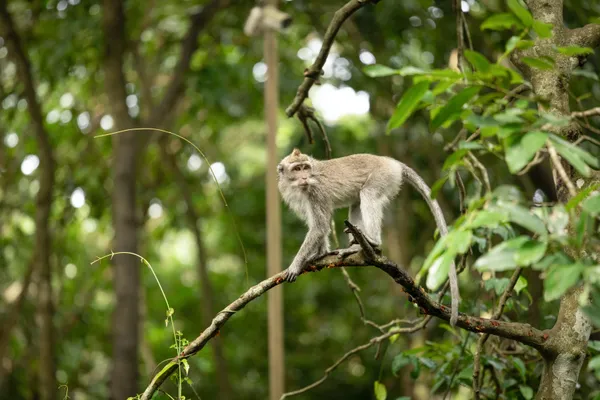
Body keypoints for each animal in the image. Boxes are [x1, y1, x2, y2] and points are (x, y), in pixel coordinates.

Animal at [276, 148, 460, 326]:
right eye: (297, 169)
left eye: (305, 167)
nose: (305, 177)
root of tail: (390, 161)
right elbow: (318, 228)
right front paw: (319, 253)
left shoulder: (316, 193)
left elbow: (319, 227)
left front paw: (295, 265)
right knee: (356, 202)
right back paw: (356, 246)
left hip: (384, 176)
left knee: (368, 193)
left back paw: (372, 242)